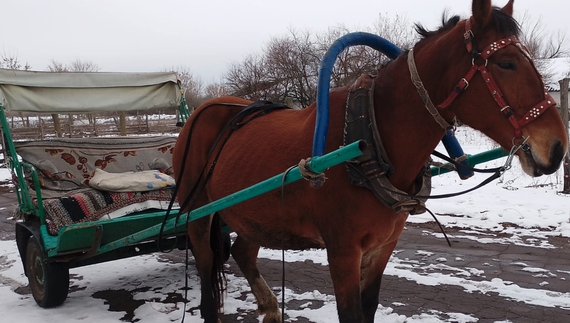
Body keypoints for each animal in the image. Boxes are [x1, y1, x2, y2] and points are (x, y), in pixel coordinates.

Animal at [171, 1, 564, 322]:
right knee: (206, 275)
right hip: (199, 214)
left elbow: (369, 306)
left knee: (243, 251)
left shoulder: (382, 247)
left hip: (255, 213)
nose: (558, 147)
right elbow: (350, 313)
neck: (369, 140)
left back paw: (270, 308)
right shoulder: (343, 251)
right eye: (506, 63)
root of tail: (201, 113)